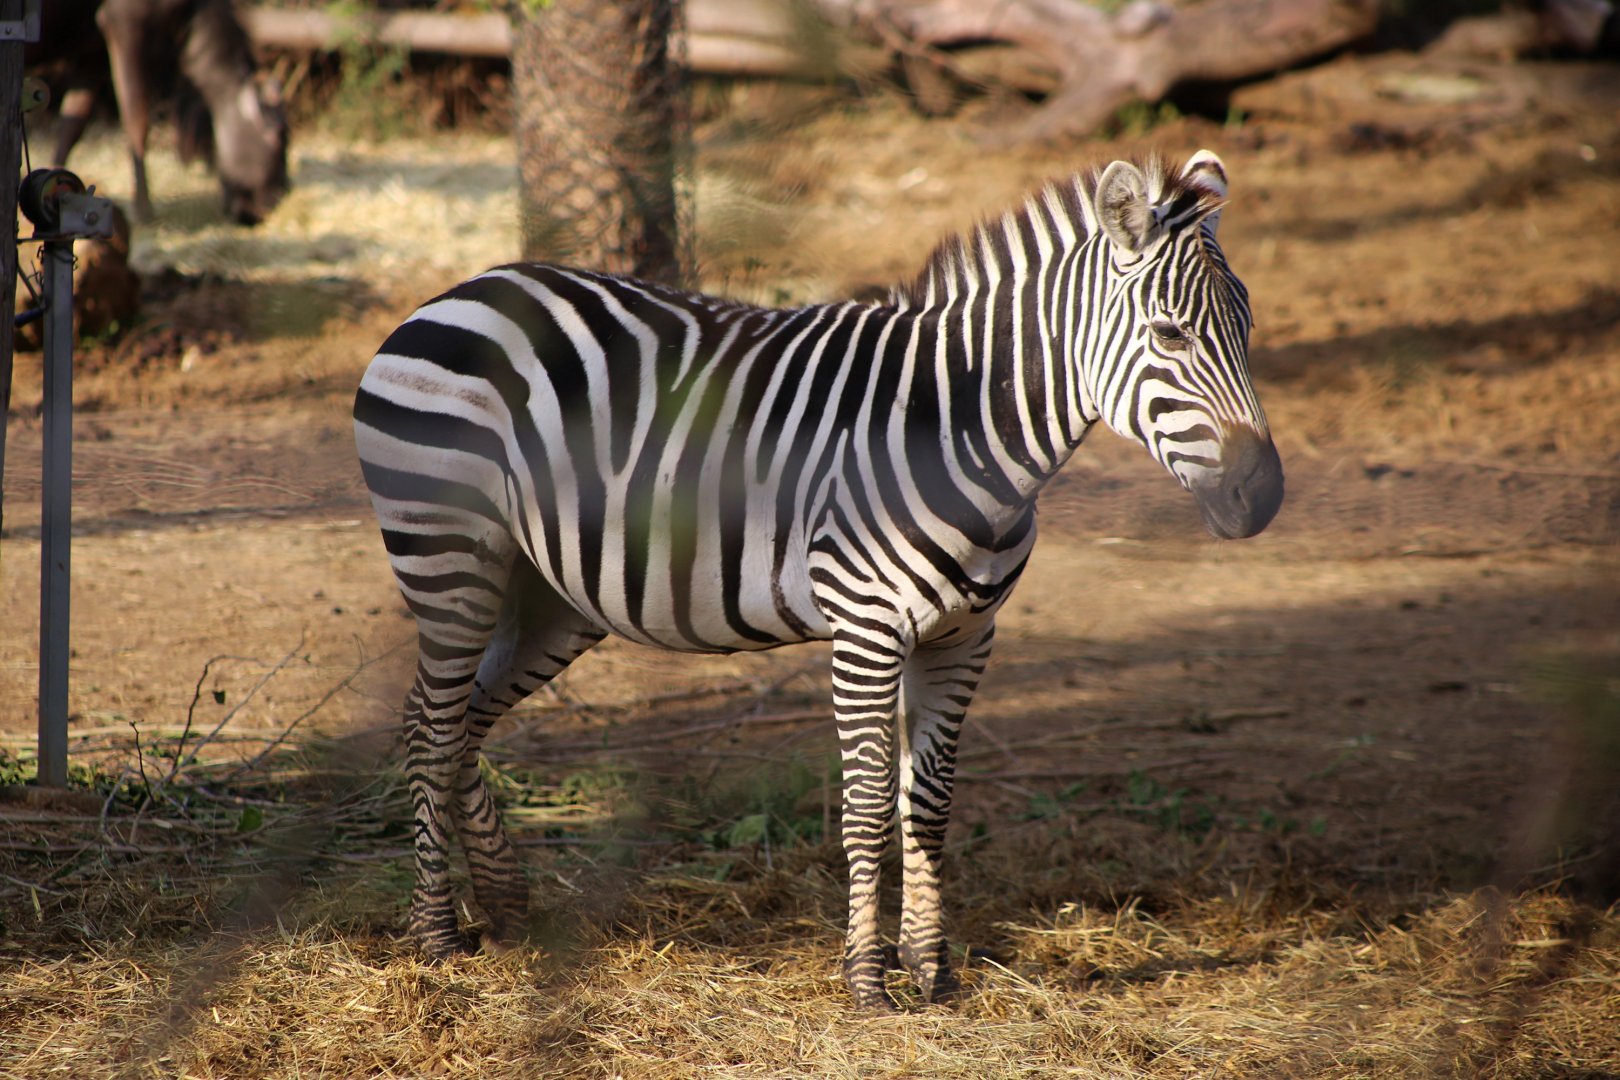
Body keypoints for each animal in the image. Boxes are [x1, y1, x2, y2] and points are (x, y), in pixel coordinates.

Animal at [353, 149, 1283, 1013]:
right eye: (1169, 335)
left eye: (1247, 331)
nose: (1263, 496)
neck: (958, 431)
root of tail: (468, 287)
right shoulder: (867, 629)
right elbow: (869, 804)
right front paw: (868, 982)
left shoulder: (964, 636)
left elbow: (929, 803)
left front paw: (931, 972)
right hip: (450, 554)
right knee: (432, 725)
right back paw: (437, 936)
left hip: (550, 592)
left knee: (460, 719)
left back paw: (508, 909)